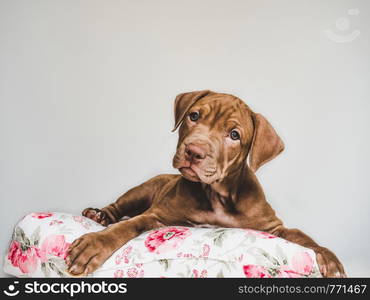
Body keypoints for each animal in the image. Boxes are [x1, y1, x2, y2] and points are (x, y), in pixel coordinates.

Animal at [65, 90, 346, 278]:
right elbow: (127, 225)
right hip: (142, 189)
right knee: (118, 208)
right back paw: (98, 215)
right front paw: (94, 244)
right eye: (194, 116)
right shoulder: (157, 215)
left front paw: (330, 259)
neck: (217, 194)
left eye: (234, 135)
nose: (193, 151)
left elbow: (302, 235)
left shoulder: (273, 226)